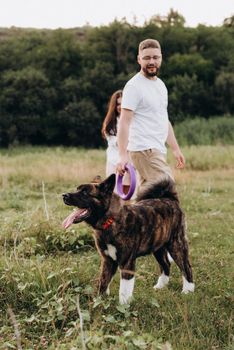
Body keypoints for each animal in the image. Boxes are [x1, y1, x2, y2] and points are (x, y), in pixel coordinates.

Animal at [61, 175, 194, 304]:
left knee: (186, 267)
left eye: (84, 192)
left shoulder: (127, 262)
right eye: (77, 189)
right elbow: (103, 282)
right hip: (158, 248)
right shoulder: (108, 260)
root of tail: (170, 199)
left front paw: (123, 306)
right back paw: (161, 286)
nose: (64, 195)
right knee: (166, 264)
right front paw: (99, 301)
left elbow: (124, 289)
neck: (110, 221)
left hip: (177, 246)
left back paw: (188, 290)